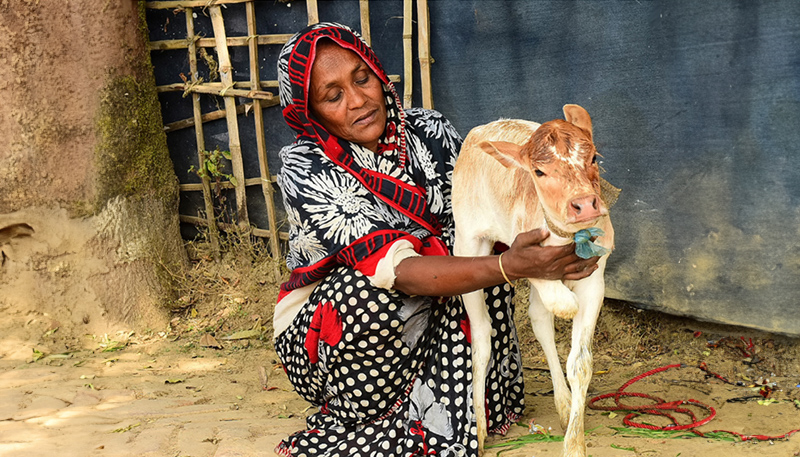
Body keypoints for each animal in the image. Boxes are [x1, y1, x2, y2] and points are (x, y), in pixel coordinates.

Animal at [454, 104, 616, 456]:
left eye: (593, 157)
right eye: (539, 172)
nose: (585, 205)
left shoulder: (596, 278)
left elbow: (580, 362)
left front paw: (575, 444)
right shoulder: (526, 254)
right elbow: (559, 299)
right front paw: (567, 303)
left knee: (539, 321)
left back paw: (565, 404)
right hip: (466, 241)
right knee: (482, 338)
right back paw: (480, 428)